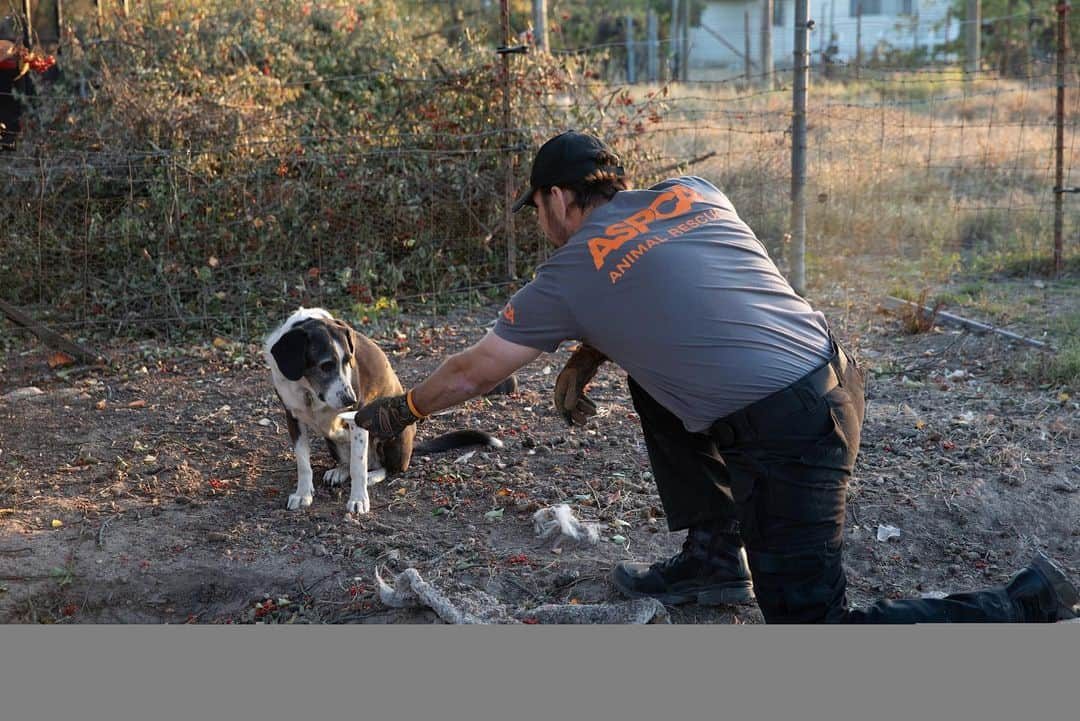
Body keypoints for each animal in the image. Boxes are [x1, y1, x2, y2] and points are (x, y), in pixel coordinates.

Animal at [263, 306, 511, 509]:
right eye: (326, 365)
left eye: (348, 361)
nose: (351, 399)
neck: (309, 389)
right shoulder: (293, 417)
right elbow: (304, 463)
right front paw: (303, 494)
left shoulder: (358, 419)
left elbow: (358, 466)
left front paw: (358, 499)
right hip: (332, 440)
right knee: (349, 460)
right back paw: (339, 471)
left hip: (393, 434)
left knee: (386, 468)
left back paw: (372, 476)